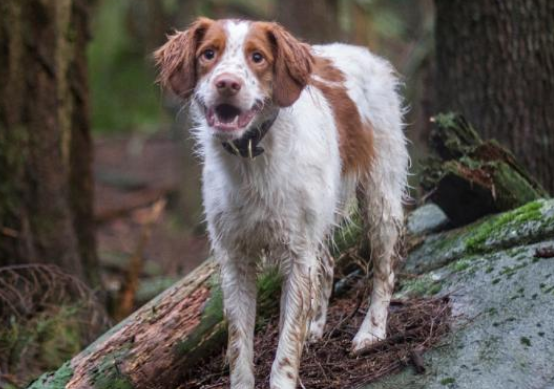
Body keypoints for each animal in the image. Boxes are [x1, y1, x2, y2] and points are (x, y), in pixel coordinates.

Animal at [153, 16, 408, 386]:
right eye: (208, 54)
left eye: (257, 57)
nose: (227, 83)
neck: (250, 157)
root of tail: (361, 52)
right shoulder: (235, 258)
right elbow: (238, 345)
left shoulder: (296, 255)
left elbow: (286, 346)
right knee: (326, 264)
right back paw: (316, 325)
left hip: (379, 198)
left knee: (384, 268)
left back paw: (371, 332)